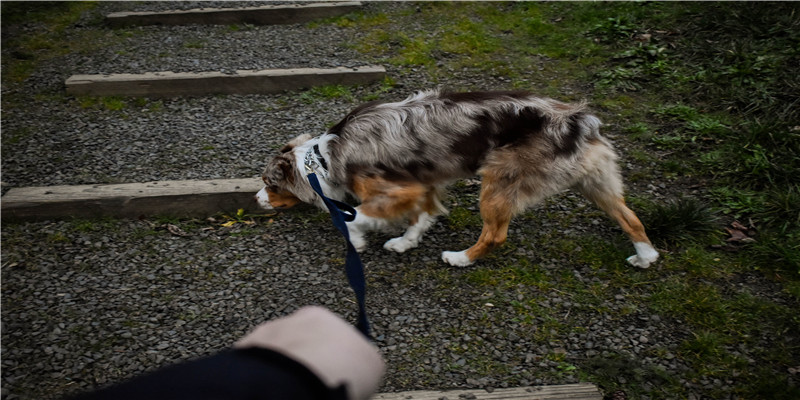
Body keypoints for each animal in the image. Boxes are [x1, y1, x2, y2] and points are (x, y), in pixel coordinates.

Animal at [255, 89, 656, 268]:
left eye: (271, 184)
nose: (257, 200)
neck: (324, 156)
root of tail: (577, 120)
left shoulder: (398, 189)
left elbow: (355, 217)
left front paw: (358, 240)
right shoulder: (424, 185)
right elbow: (422, 217)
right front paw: (405, 243)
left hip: (497, 184)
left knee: (495, 234)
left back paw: (460, 258)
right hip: (597, 182)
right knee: (631, 218)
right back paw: (645, 257)